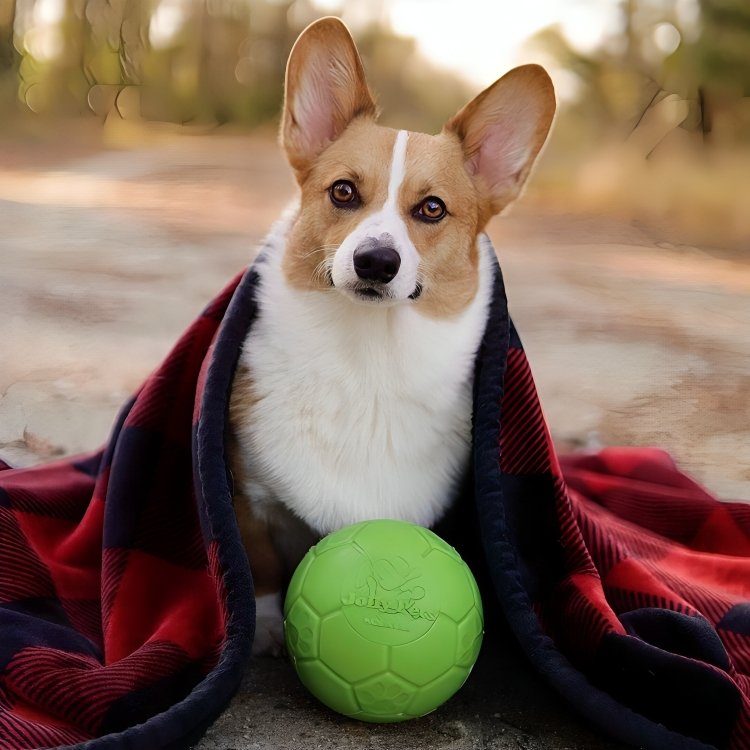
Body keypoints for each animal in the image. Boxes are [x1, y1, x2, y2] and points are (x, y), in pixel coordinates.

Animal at [226, 14, 556, 656]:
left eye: (432, 208)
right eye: (343, 191)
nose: (376, 262)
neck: (370, 360)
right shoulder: (246, 499)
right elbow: (261, 564)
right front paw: (270, 627)